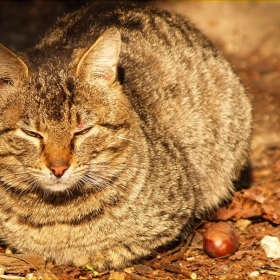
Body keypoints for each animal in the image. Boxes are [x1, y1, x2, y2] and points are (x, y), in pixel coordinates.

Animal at [0, 1, 252, 270]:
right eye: (31, 133)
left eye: (83, 130)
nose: (58, 168)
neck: (57, 212)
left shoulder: (176, 211)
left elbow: (118, 248)